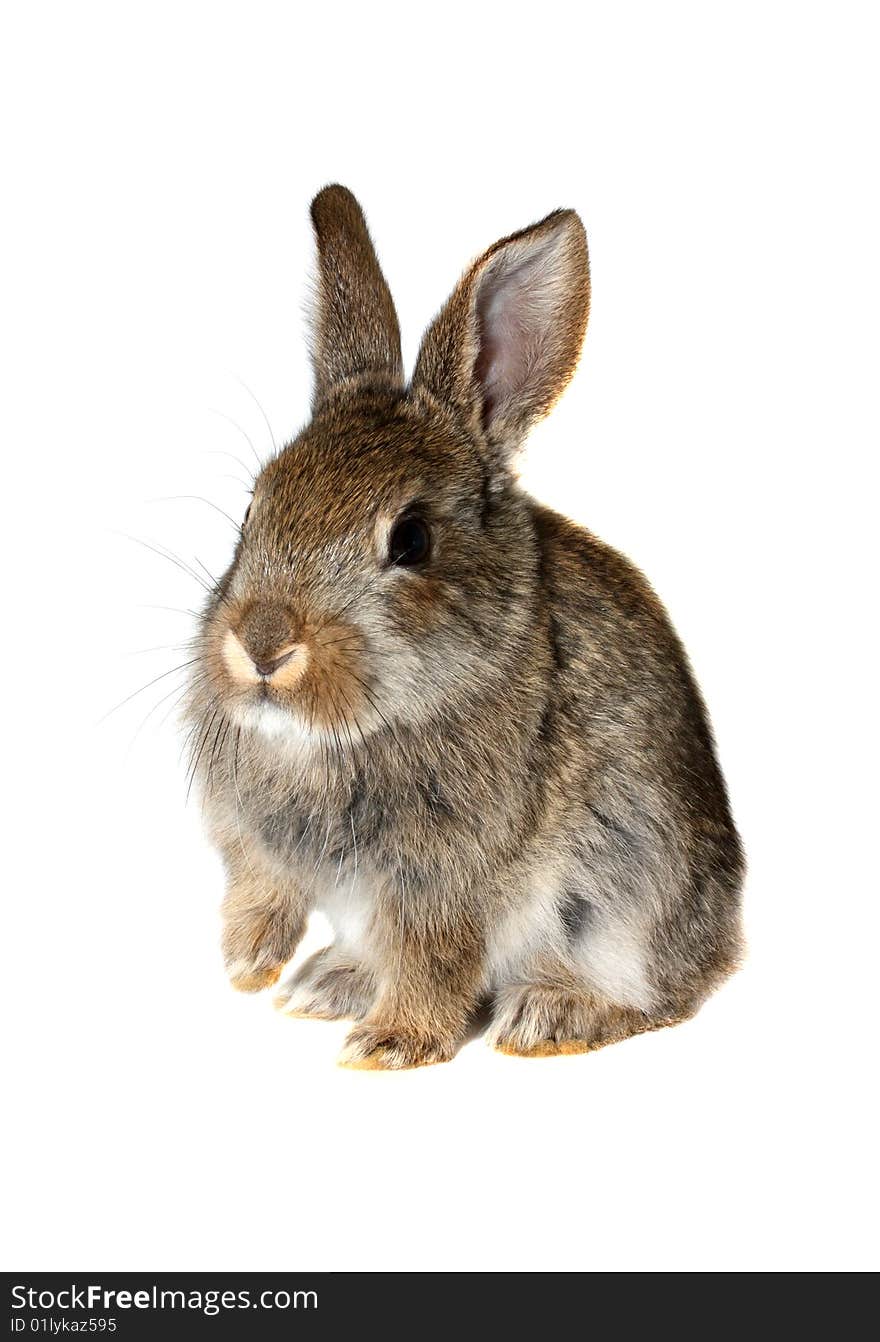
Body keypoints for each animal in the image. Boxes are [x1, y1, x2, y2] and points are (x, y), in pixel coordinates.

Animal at [183, 186, 740, 1068]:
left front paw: (391, 1045)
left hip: (630, 900)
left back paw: (551, 1014)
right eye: (253, 509)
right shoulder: (260, 851)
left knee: (655, 997)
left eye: (411, 540)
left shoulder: (444, 883)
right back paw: (327, 984)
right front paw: (250, 965)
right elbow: (263, 890)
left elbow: (431, 957)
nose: (264, 646)